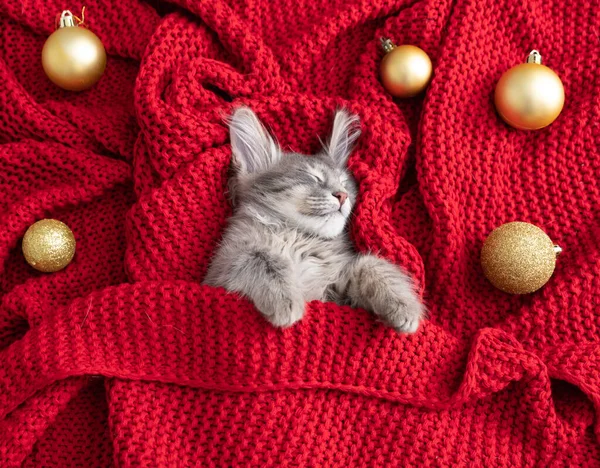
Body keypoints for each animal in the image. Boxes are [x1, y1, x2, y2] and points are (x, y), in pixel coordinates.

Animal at [204, 107, 424, 332]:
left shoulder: (336, 292)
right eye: (313, 178)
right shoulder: (221, 269)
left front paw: (403, 305)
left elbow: (371, 265)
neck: (299, 239)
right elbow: (262, 257)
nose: (342, 195)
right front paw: (285, 300)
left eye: (344, 183)